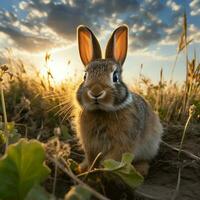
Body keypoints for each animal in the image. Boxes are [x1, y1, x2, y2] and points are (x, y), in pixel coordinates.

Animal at [74, 24, 163, 175]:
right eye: (85, 76)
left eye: (115, 77)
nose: (96, 92)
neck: (101, 112)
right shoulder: (90, 145)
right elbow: (91, 158)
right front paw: (88, 169)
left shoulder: (123, 144)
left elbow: (113, 159)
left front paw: (103, 171)